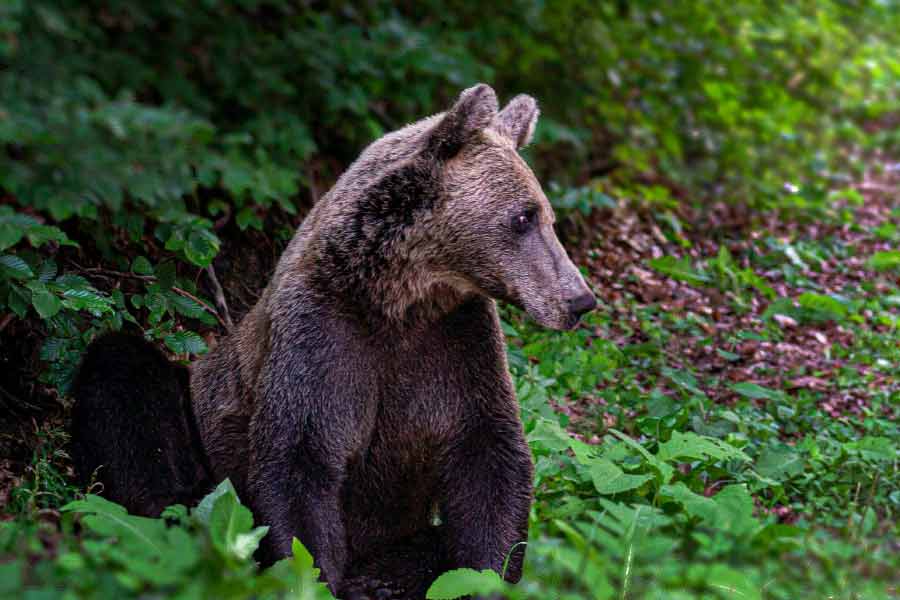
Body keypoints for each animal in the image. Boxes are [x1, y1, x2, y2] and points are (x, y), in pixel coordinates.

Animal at [71, 83, 596, 599]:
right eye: (524, 217)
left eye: (547, 216)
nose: (580, 300)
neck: (399, 298)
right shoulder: (322, 338)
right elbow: (300, 463)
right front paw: (311, 576)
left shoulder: (457, 346)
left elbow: (489, 460)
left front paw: (482, 576)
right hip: (196, 412)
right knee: (124, 375)